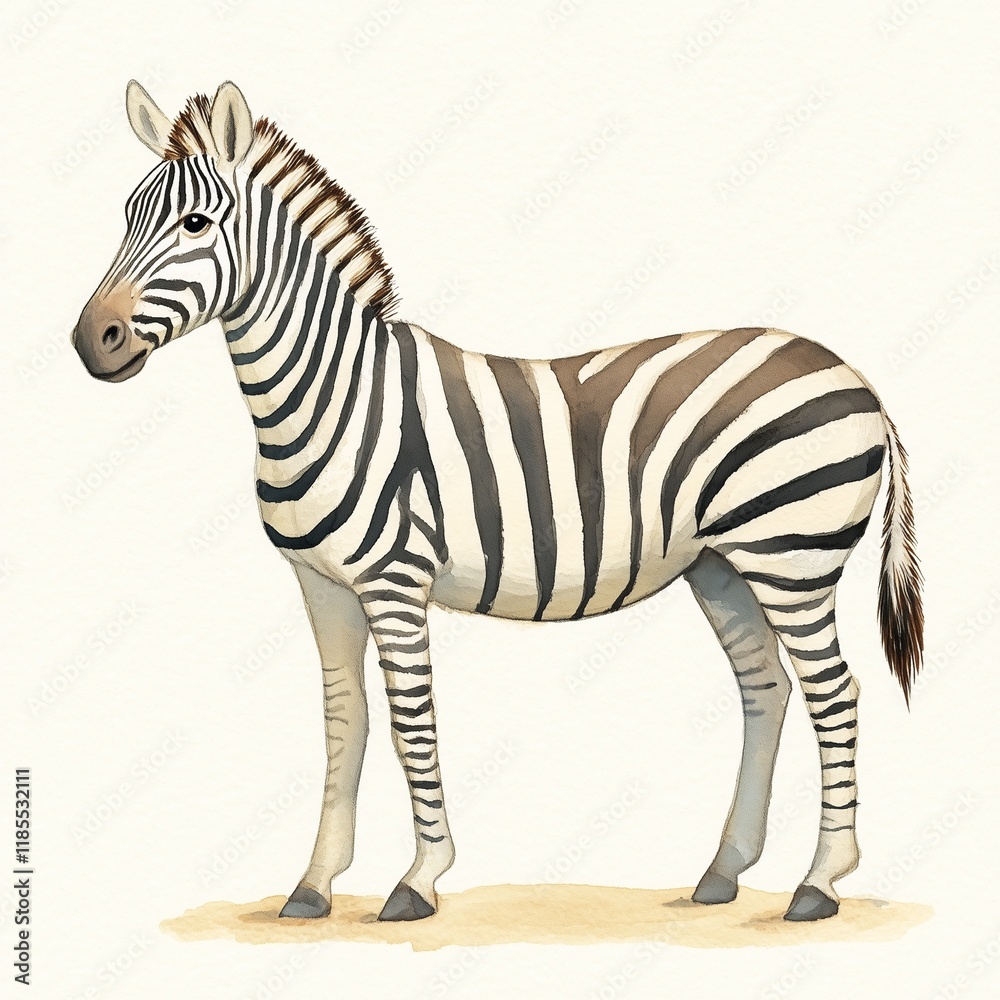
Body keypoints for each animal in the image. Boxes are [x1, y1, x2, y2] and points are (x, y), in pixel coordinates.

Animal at [73, 81, 923, 925]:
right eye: (126, 215)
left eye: (195, 223)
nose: (91, 342)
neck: (331, 394)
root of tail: (858, 378)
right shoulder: (321, 583)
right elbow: (345, 722)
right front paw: (314, 883)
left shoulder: (394, 579)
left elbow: (411, 721)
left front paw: (420, 878)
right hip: (721, 564)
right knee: (766, 690)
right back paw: (722, 871)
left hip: (792, 555)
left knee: (834, 693)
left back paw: (819, 882)